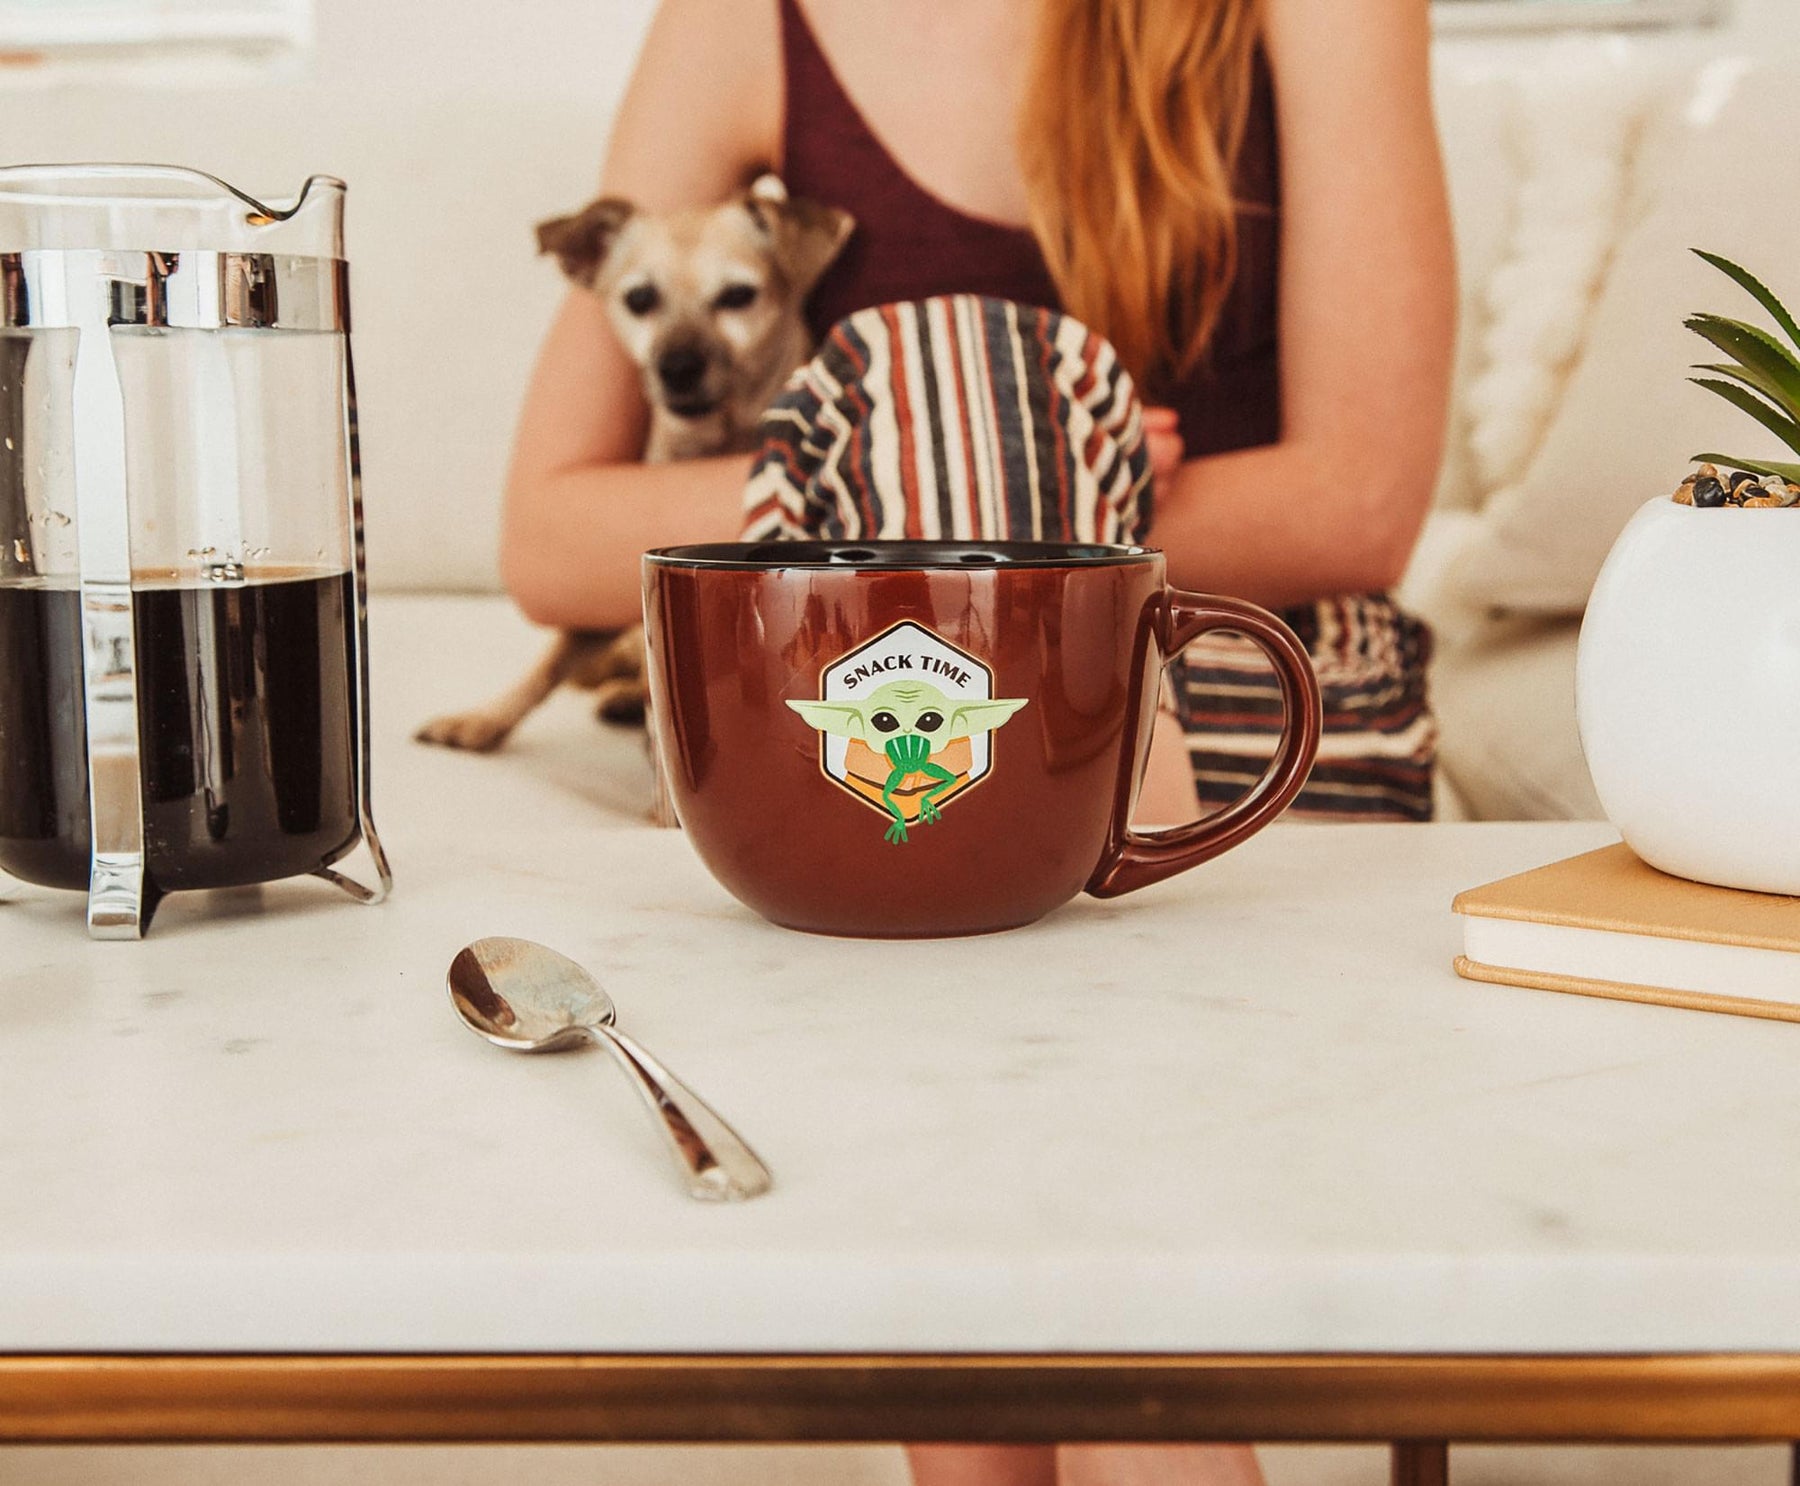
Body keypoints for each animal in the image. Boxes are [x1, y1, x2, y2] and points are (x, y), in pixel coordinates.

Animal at [417, 176, 853, 751]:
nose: (678, 367)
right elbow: (551, 660)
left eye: (738, 296)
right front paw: (485, 718)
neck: (709, 440)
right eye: (639, 299)